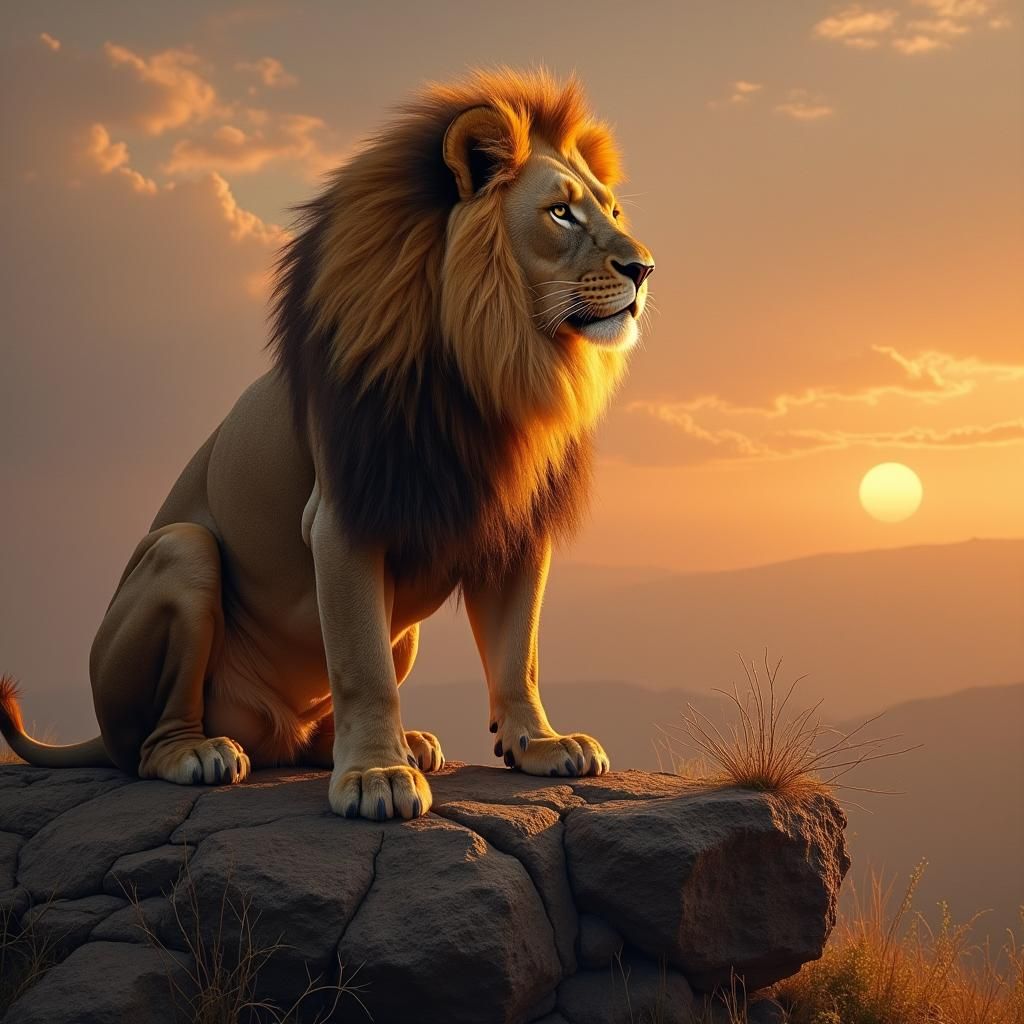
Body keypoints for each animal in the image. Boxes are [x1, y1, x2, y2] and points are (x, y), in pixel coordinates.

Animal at [0, 68, 654, 820]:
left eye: (612, 210)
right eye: (561, 214)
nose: (645, 269)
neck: (495, 366)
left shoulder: (517, 524)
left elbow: (519, 652)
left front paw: (539, 744)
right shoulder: (342, 518)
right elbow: (362, 664)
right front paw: (375, 775)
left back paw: (397, 743)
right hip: (181, 557)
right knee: (144, 743)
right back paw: (201, 753)